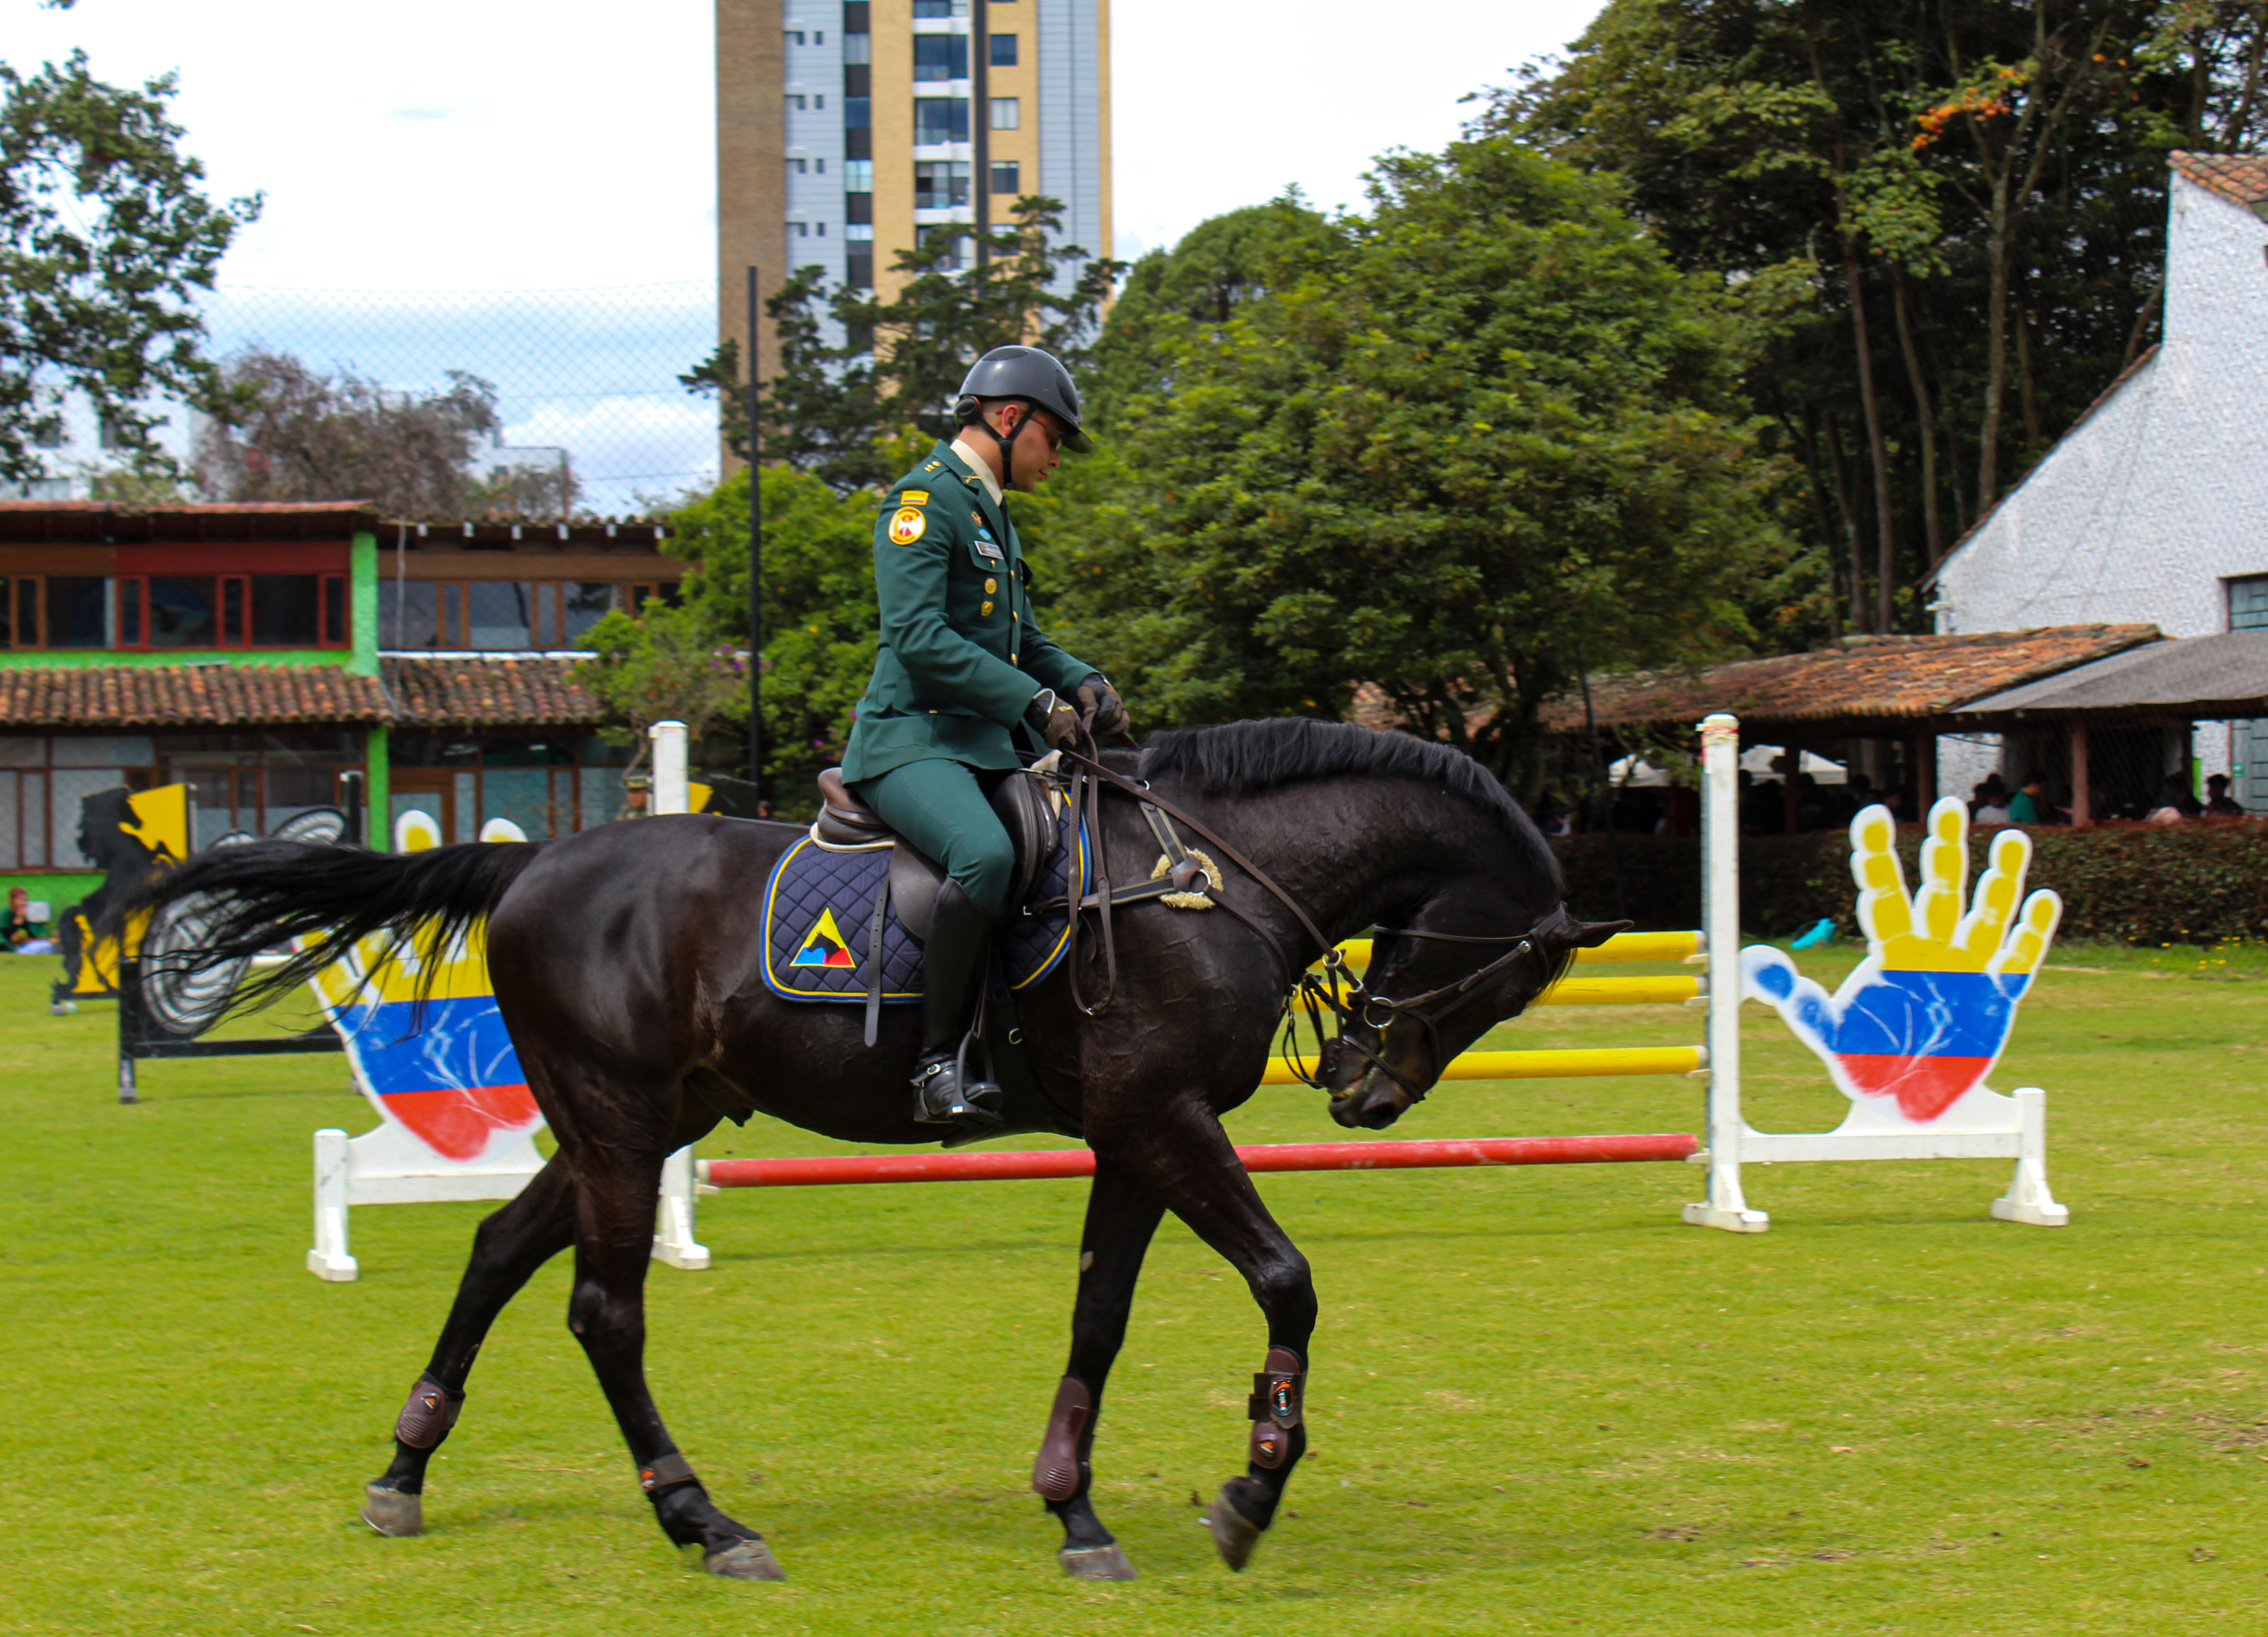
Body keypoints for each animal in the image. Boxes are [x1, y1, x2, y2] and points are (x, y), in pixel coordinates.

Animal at [142, 721, 1624, 1578]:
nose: (1366, 1092)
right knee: (604, 1310)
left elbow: (1098, 1317)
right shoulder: (1164, 1119)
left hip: (647, 1118)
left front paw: (1073, 1508)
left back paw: (405, 1471)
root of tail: (533, 866)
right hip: (618, 1121)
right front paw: (1253, 1485)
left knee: (500, 1249)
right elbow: (1286, 1280)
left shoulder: (1130, 1134)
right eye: (1502, 979)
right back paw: (701, 1519)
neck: (1207, 875)